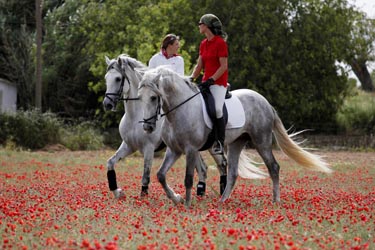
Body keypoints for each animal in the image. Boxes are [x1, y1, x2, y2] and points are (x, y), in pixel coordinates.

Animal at [103, 55, 209, 199]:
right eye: (106, 78)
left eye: (118, 78)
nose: (107, 104)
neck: (135, 116)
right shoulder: (128, 146)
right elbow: (110, 163)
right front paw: (117, 191)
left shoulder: (149, 148)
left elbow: (145, 177)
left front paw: (143, 197)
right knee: (202, 168)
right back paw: (200, 193)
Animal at [137, 67, 332, 208]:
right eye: (140, 98)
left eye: (154, 97)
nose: (147, 127)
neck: (180, 110)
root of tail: (265, 102)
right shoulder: (174, 150)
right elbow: (161, 175)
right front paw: (176, 198)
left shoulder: (190, 150)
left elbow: (188, 178)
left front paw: (186, 204)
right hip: (236, 144)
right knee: (232, 173)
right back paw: (222, 201)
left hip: (261, 141)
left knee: (273, 167)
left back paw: (275, 201)